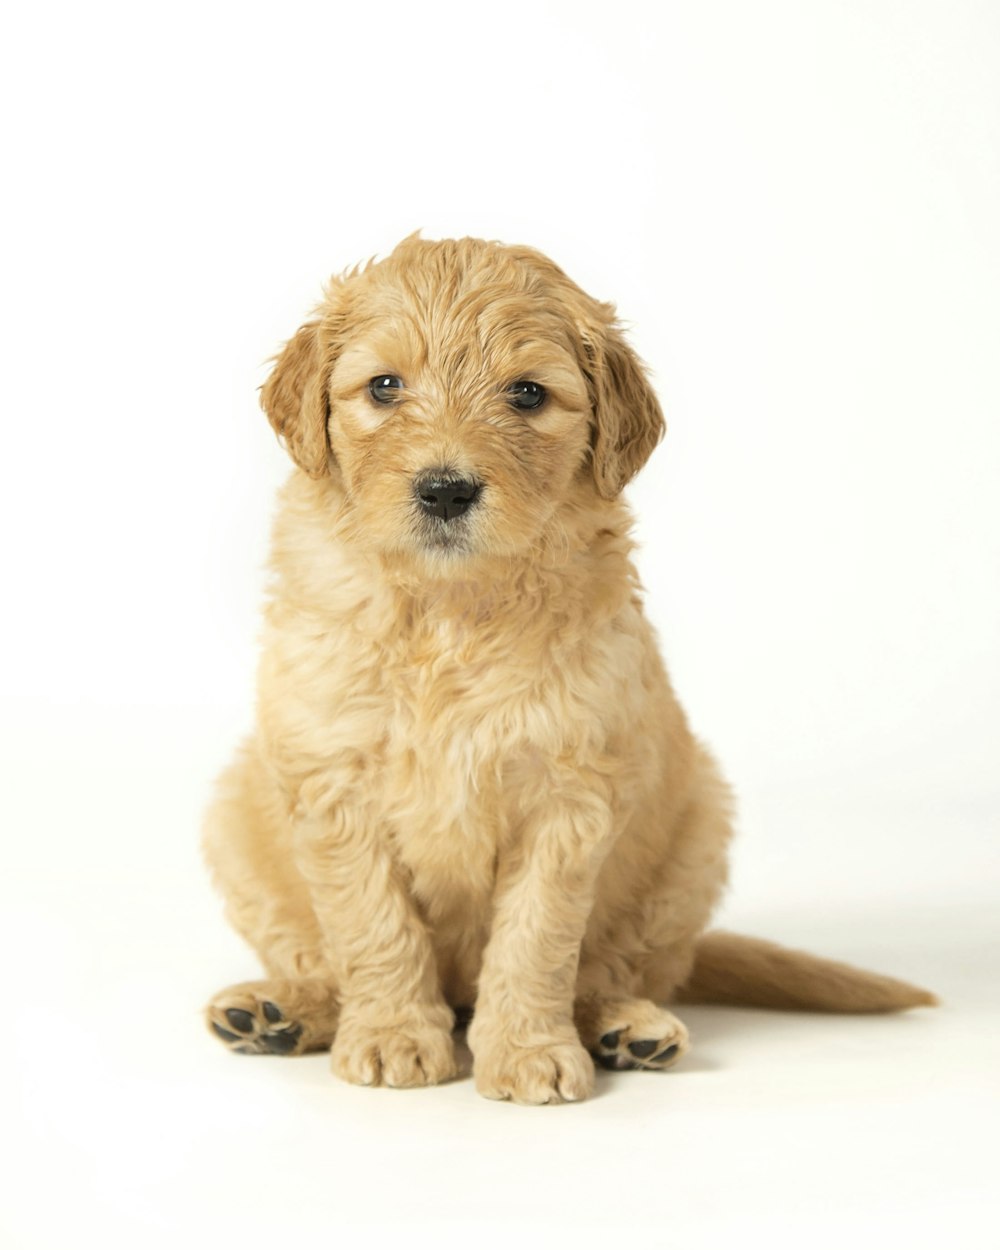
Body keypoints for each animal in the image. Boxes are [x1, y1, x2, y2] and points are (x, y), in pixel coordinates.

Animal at [205, 232, 940, 1105]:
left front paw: (527, 1051)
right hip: (234, 819)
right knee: (313, 954)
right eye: (384, 386)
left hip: (695, 836)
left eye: (527, 394)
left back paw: (629, 1027)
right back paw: (280, 1010)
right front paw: (391, 1035)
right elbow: (371, 924)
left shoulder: (570, 791)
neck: (450, 608)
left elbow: (537, 937)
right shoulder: (332, 779)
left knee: (618, 969)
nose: (445, 490)